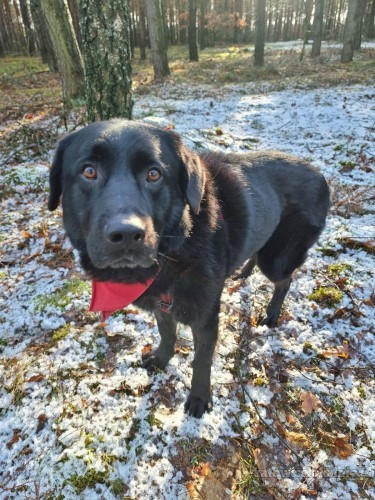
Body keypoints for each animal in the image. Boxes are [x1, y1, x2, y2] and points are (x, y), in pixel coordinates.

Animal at [48, 120, 330, 418]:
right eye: (88, 171)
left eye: (154, 174)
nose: (126, 234)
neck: (174, 249)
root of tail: (320, 175)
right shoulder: (163, 304)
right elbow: (167, 333)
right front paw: (162, 358)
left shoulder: (205, 318)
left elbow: (201, 360)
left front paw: (199, 397)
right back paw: (242, 272)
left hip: (276, 258)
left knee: (284, 281)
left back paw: (272, 313)